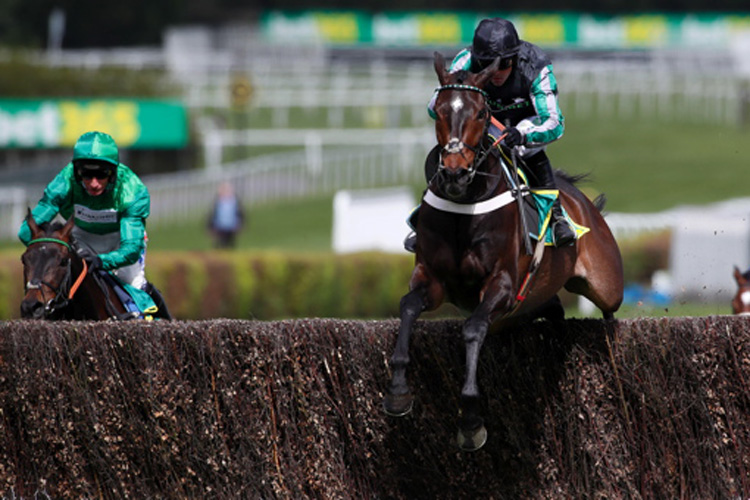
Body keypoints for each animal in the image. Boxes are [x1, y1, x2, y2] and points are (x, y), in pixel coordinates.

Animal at [384, 52, 624, 452]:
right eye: (440, 109)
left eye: (482, 113)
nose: (455, 172)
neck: (466, 206)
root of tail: (584, 203)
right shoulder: (432, 278)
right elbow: (407, 307)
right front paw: (398, 392)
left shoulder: (502, 284)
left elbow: (473, 328)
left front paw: (470, 421)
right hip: (526, 306)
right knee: (551, 307)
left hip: (605, 285)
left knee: (609, 312)